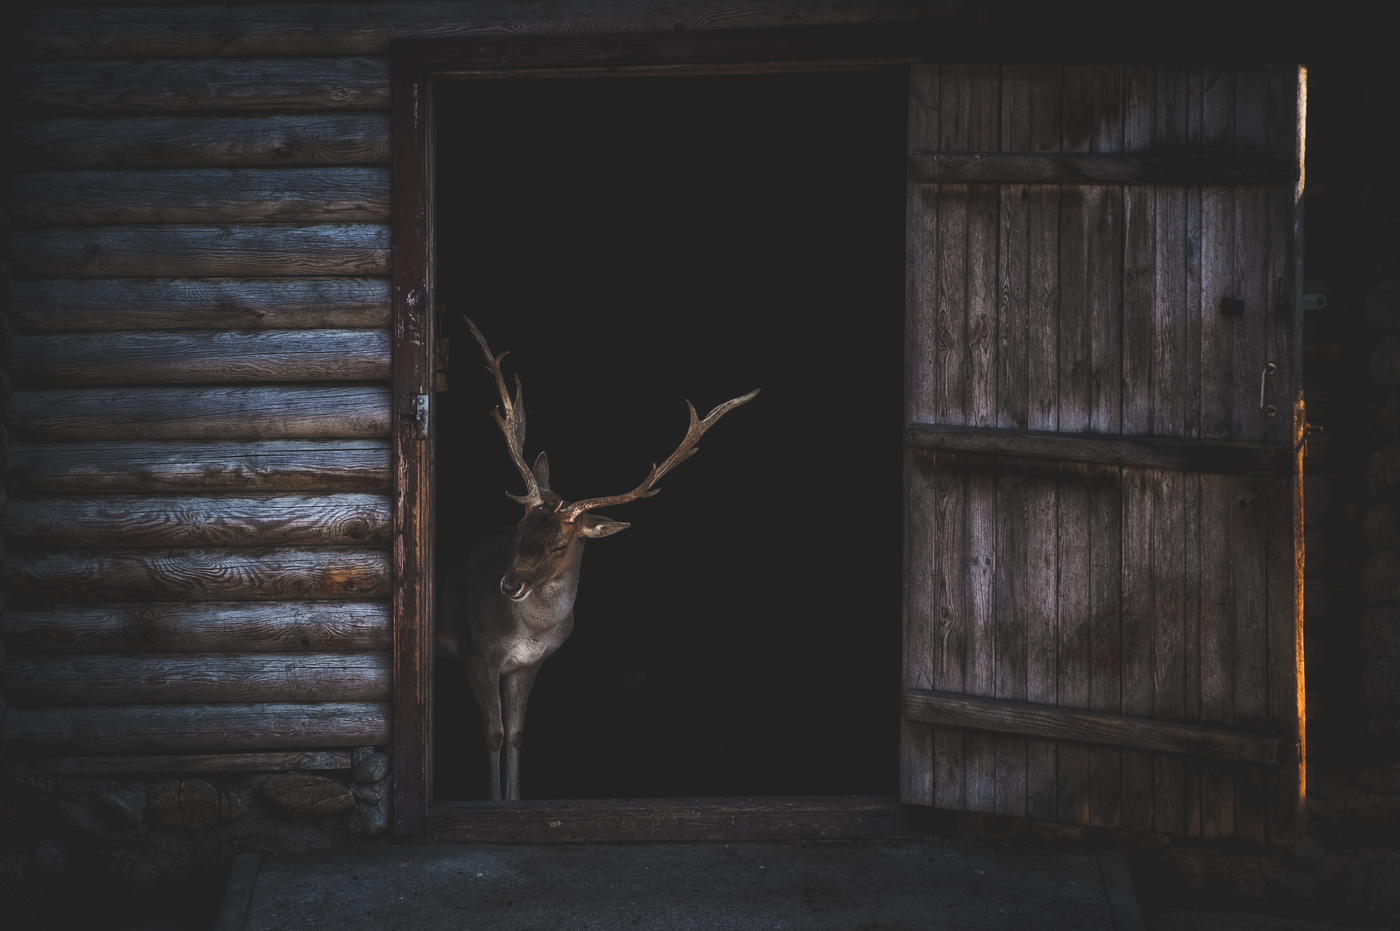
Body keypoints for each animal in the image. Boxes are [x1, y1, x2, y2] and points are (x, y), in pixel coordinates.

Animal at [444, 316, 758, 801]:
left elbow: (515, 735)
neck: (527, 632)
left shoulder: (528, 664)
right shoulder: (477, 652)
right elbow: (493, 735)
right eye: (518, 528)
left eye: (561, 543)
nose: (509, 585)